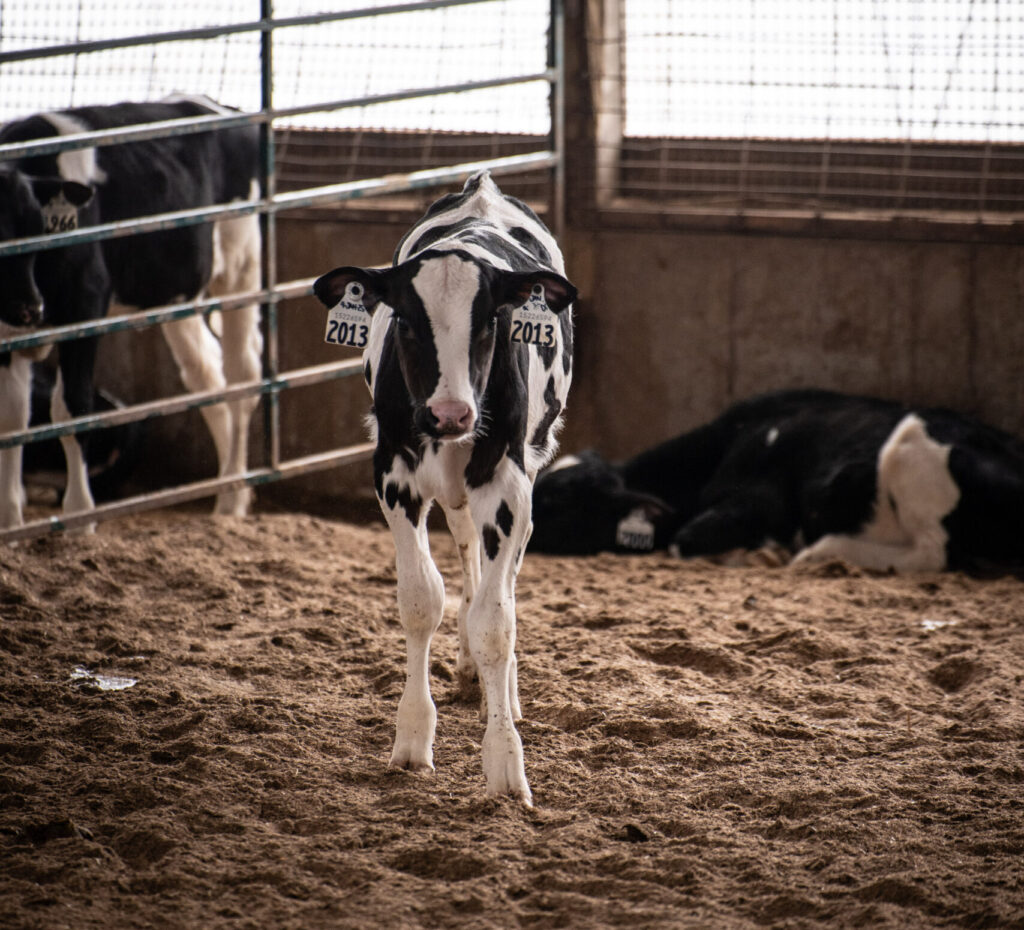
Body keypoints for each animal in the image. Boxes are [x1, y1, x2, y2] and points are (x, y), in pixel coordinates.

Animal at [0, 95, 263, 530]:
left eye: (35, 230)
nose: (28, 309)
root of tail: (217, 105)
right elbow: (12, 419)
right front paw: (10, 521)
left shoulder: (86, 302)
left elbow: (73, 407)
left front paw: (80, 517)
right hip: (175, 296)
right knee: (207, 374)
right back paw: (229, 488)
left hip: (241, 266)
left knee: (244, 376)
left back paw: (231, 500)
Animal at [313, 170, 577, 805]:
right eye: (406, 322)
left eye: (491, 323)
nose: (451, 413)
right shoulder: (393, 477)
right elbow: (421, 601)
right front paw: (412, 737)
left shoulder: (507, 486)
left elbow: (496, 622)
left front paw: (505, 762)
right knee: (465, 550)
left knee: (504, 580)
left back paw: (502, 690)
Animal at [530, 388, 1024, 576]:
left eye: (558, 501)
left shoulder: (754, 503)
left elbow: (684, 540)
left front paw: (762, 550)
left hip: (908, 456)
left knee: (932, 552)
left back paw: (816, 552)